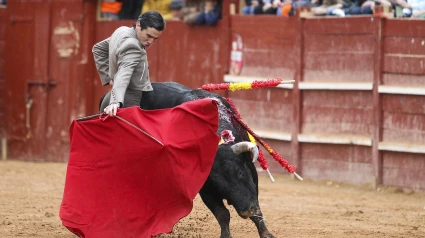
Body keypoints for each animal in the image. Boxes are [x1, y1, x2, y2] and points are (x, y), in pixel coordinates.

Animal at [101, 82, 274, 238]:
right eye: (217, 183)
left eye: (239, 172)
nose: (246, 211)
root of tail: (106, 97)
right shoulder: (206, 189)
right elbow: (222, 213)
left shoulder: (252, 174)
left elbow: (257, 206)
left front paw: (266, 233)